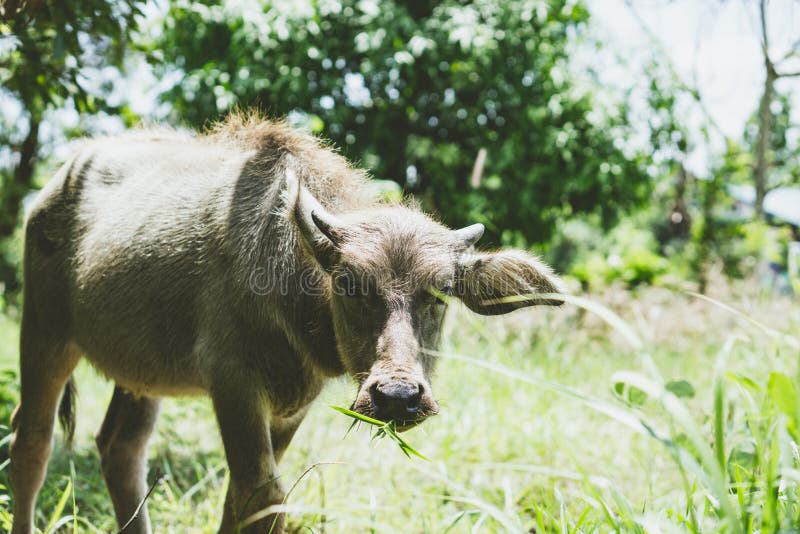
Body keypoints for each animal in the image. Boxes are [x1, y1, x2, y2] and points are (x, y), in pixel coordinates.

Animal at [7, 115, 564, 532]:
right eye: (348, 283)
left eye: (440, 294)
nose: (397, 397)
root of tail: (55, 185)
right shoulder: (233, 385)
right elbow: (264, 496)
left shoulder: (293, 405)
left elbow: (243, 501)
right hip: (44, 334)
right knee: (31, 443)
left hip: (142, 372)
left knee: (121, 449)